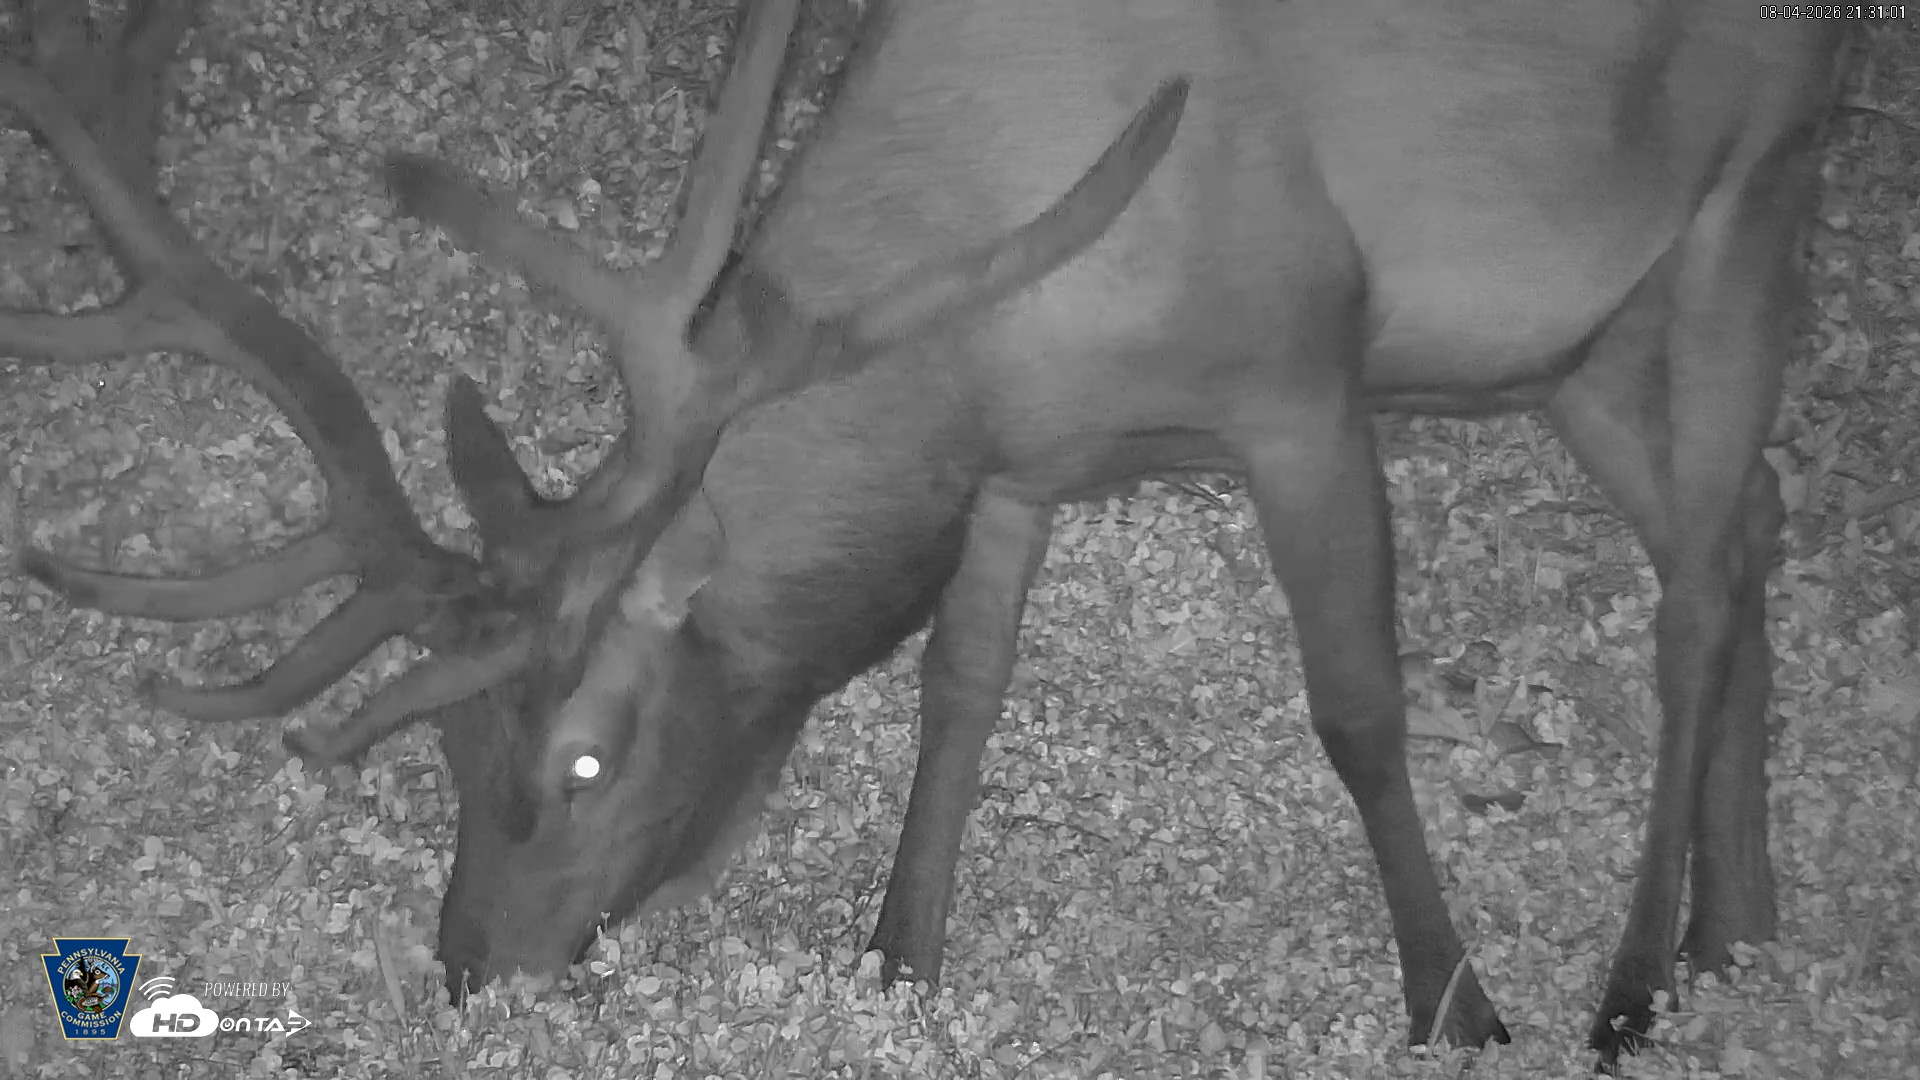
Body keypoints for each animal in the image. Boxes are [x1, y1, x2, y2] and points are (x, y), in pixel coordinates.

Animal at [5, 0, 1847, 1064]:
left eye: (587, 757)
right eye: (452, 752)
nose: (474, 967)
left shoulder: (1301, 377)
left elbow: (1358, 709)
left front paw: (1454, 1001)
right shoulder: (1022, 465)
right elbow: (957, 694)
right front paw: (896, 963)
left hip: (1752, 193)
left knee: (1696, 580)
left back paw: (1633, 983)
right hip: (1564, 349)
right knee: (1748, 523)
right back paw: (1743, 926)